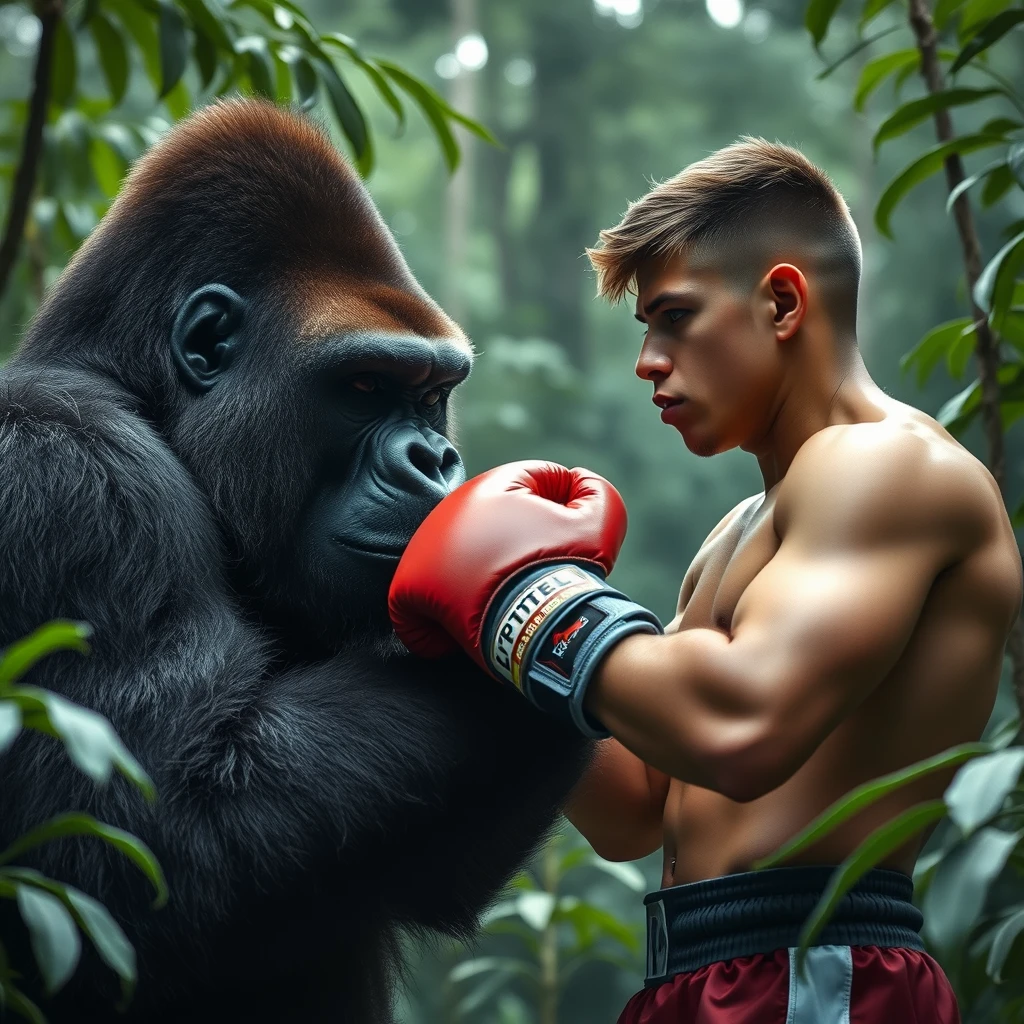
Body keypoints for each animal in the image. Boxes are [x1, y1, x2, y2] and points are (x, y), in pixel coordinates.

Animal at [0, 97, 589, 1024]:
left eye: (431, 394)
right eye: (363, 386)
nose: (435, 460)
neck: (142, 395)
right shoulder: (71, 479)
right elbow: (147, 854)